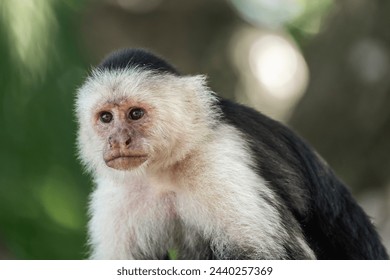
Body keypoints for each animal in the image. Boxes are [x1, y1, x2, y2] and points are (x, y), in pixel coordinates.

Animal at [74, 48, 388, 260]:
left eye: (135, 114)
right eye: (106, 118)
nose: (118, 140)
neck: (166, 169)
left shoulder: (219, 156)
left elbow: (269, 254)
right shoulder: (117, 194)